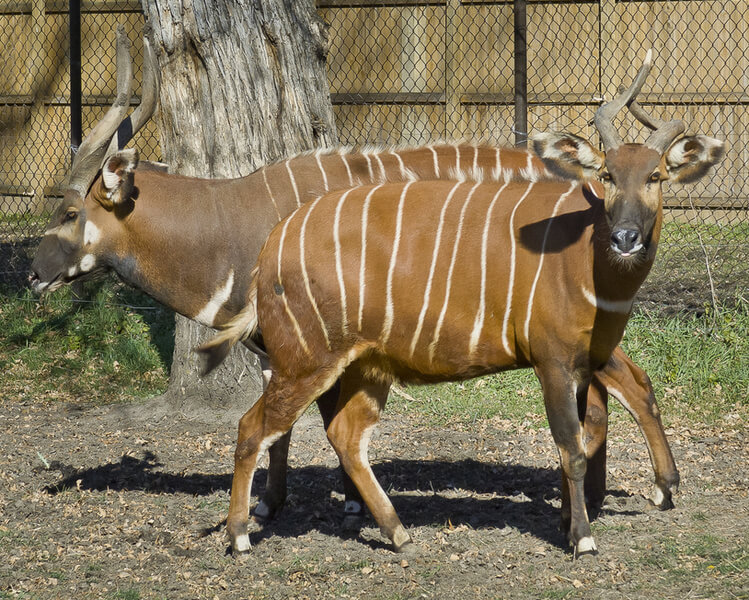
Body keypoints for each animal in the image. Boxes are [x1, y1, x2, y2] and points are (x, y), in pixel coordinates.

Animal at [200, 52, 724, 556]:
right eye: (607, 175)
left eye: (655, 176)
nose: (626, 237)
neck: (584, 259)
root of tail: (271, 249)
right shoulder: (553, 361)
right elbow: (571, 449)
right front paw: (582, 538)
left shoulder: (582, 363)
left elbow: (582, 439)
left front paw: (572, 523)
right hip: (304, 361)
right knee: (252, 428)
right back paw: (240, 536)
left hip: (365, 366)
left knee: (346, 436)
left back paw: (399, 534)